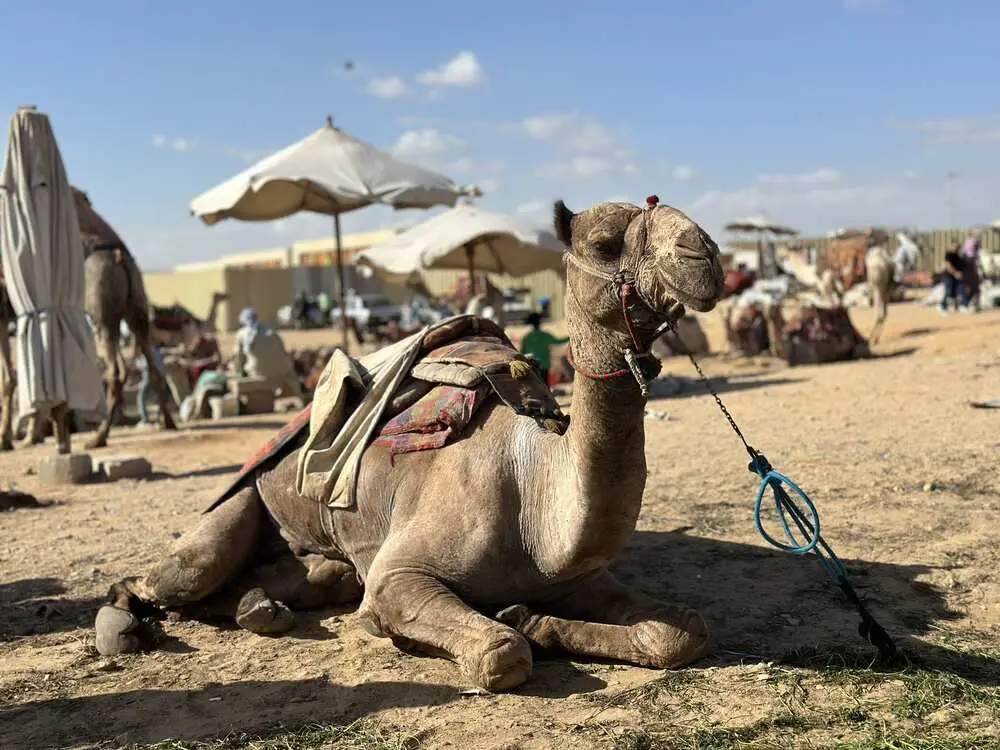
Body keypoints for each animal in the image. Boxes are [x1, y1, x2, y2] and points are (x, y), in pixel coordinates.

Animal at [93, 199, 726, 692]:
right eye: (603, 244)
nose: (705, 253)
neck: (536, 497)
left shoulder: (579, 579)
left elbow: (683, 632)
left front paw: (532, 618)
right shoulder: (401, 573)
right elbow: (501, 653)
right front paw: (491, 629)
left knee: (317, 577)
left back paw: (262, 607)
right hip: (242, 500)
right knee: (170, 579)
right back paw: (129, 626)